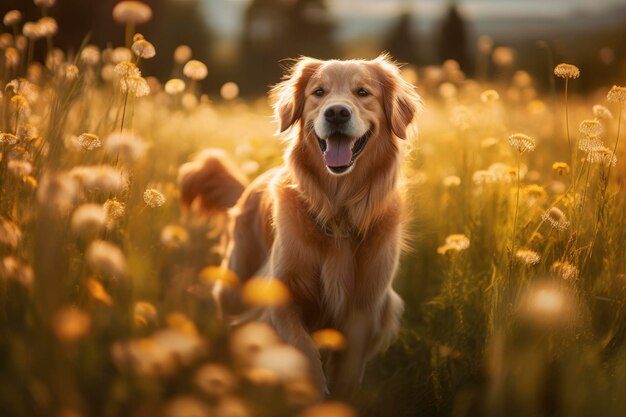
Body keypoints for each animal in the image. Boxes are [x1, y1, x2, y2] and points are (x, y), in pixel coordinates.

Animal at [180, 53, 424, 398]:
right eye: (319, 92)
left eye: (363, 92)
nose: (337, 112)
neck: (337, 212)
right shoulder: (280, 295)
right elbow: (303, 350)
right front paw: (313, 391)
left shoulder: (365, 309)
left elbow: (347, 373)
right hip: (235, 284)